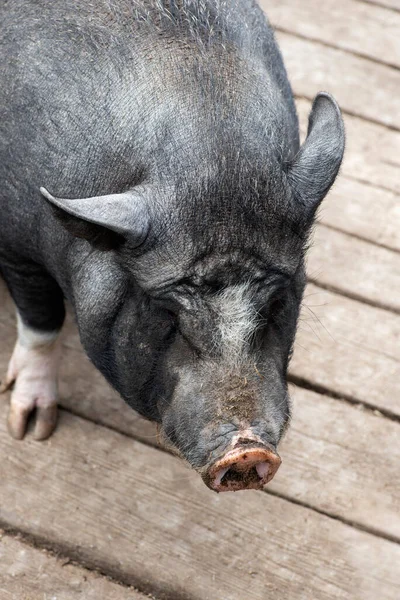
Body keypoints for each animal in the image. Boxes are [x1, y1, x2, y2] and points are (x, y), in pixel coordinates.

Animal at [0, 1, 344, 492]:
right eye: (166, 313)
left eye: (276, 304)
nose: (247, 449)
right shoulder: (16, 244)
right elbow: (41, 322)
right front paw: (30, 429)